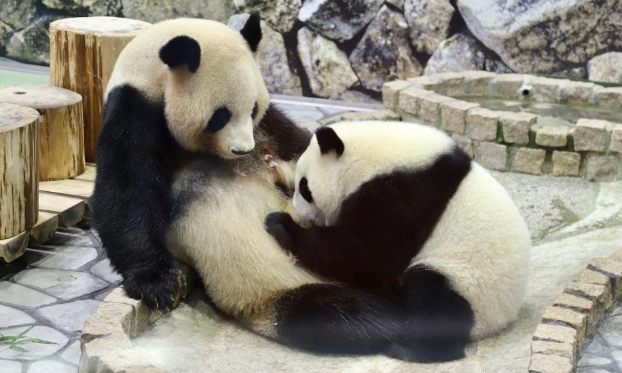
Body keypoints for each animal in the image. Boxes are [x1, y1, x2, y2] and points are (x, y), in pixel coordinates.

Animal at [94, 15, 414, 360]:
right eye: (220, 115)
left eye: (253, 108)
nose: (244, 149)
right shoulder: (134, 113)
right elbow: (124, 192)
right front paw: (157, 283)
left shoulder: (269, 125)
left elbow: (300, 146)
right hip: (279, 296)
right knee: (342, 315)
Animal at [266, 120, 532, 362]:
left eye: (306, 187)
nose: (300, 214)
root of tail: (503, 320)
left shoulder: (407, 194)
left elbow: (367, 251)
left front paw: (282, 225)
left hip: (470, 283)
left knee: (435, 298)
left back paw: (411, 350)